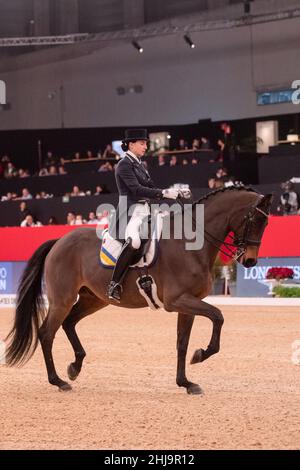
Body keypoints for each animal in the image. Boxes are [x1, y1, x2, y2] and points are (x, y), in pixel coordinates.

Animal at [4, 185, 272, 394]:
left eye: (266, 222)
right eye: (255, 220)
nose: (250, 261)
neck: (191, 243)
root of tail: (58, 241)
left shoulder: (188, 303)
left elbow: (182, 343)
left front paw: (186, 382)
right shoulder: (177, 300)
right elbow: (218, 316)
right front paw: (200, 355)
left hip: (94, 299)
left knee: (69, 322)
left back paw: (74, 368)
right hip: (62, 299)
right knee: (47, 333)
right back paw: (58, 381)